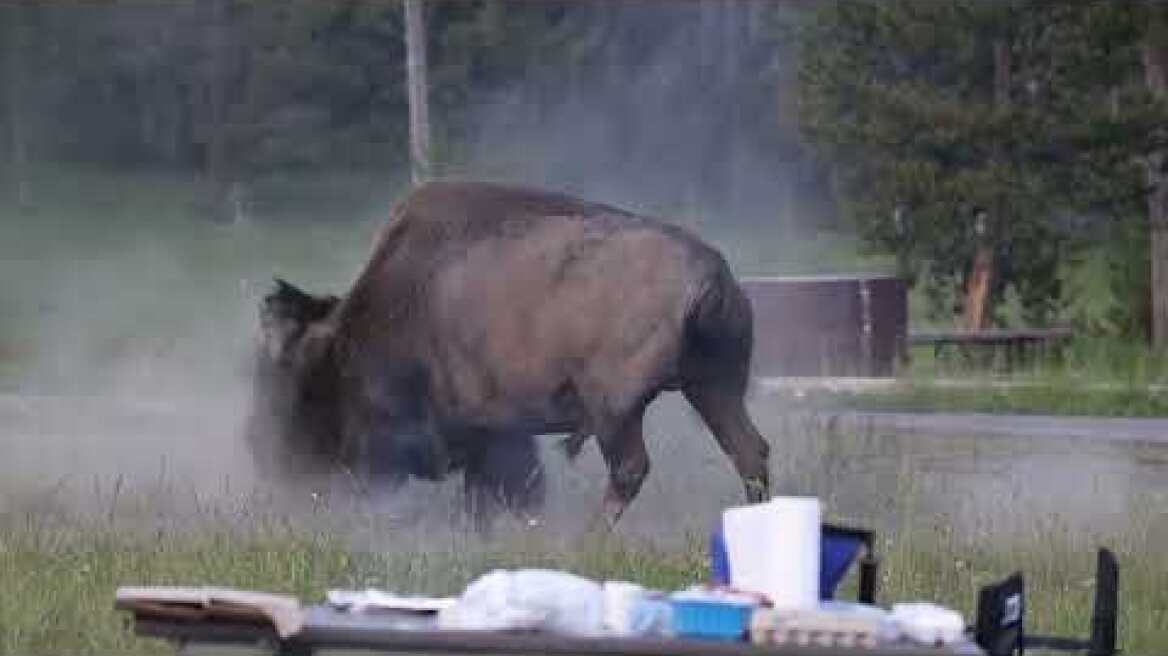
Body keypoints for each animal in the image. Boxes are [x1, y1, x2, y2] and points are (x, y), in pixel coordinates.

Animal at [244, 181, 771, 529]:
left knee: (630, 469)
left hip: (616, 411)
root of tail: (711, 275)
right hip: (714, 388)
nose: (264, 452)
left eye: (284, 377)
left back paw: (588, 538)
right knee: (749, 450)